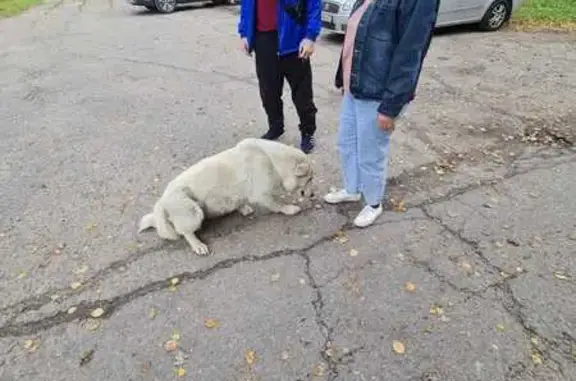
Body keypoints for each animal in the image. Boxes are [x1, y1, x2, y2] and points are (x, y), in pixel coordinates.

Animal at [137, 137, 316, 255]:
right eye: (310, 179)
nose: (313, 194)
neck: (272, 160)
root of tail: (161, 201)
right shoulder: (262, 194)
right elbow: (278, 204)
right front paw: (289, 209)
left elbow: (239, 199)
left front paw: (243, 208)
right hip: (192, 210)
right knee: (185, 232)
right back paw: (197, 244)